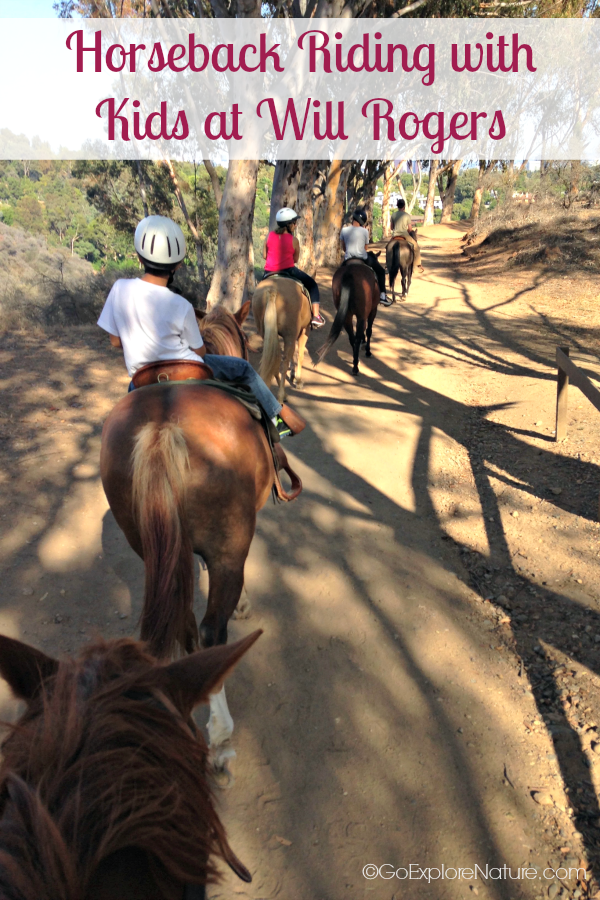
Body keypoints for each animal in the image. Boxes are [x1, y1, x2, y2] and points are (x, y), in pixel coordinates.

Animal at [101, 302, 302, 772]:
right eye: (245, 339)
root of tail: (160, 428)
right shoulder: (232, 542)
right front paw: (243, 603)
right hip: (230, 543)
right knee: (212, 630)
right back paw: (221, 739)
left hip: (146, 543)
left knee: (187, 625)